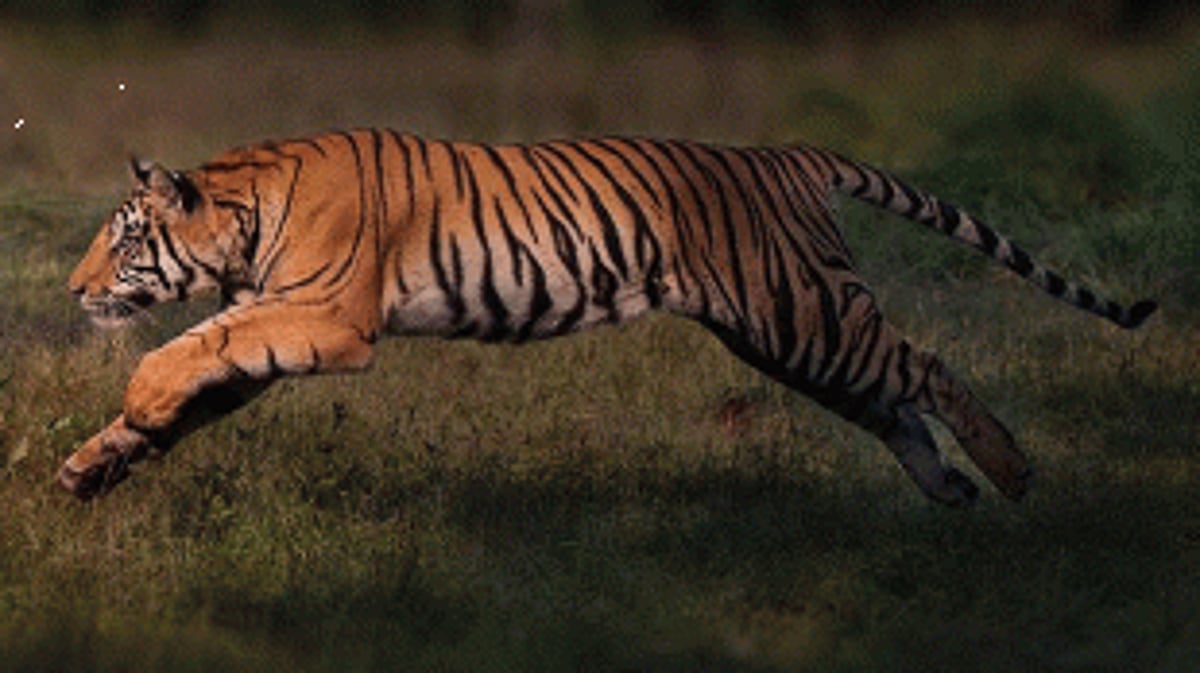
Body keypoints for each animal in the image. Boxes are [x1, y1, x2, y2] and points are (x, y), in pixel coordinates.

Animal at [61, 130, 1157, 505]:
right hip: (792, 340)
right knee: (892, 401)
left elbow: (189, 349)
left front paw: (135, 403)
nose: (71, 290)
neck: (243, 214)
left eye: (123, 240)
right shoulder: (274, 322)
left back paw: (1011, 473)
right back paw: (949, 490)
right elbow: (197, 374)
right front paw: (97, 462)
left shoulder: (326, 319)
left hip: (805, 315)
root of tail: (790, 156)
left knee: (928, 367)